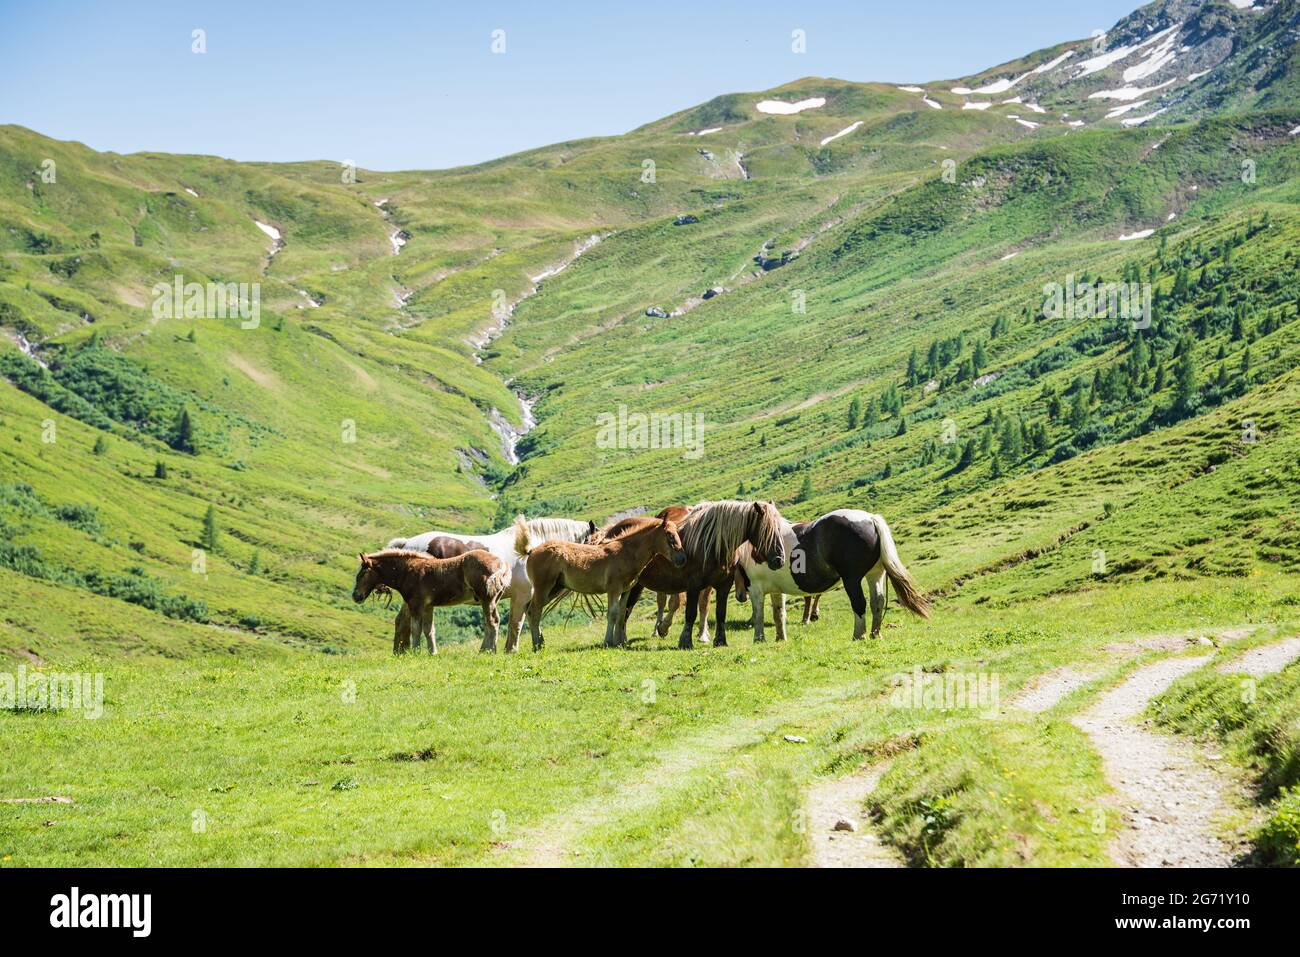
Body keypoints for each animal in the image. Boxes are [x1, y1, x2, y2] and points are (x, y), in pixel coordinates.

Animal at [353, 549, 508, 654]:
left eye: (361, 575)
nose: (355, 596)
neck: (407, 571)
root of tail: (502, 564)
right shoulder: (428, 606)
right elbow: (429, 629)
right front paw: (432, 652)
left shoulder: (415, 605)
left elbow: (416, 629)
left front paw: (415, 652)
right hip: (493, 599)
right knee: (491, 622)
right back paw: (486, 650)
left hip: (487, 599)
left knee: (492, 622)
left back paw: (489, 651)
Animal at [387, 516, 596, 652]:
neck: (529, 549)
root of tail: (407, 543)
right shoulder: (522, 596)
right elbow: (516, 623)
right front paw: (511, 650)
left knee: (402, 621)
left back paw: (402, 652)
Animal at [520, 517, 686, 649]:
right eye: (669, 535)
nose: (682, 559)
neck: (626, 552)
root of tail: (531, 551)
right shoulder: (614, 589)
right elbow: (612, 614)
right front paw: (608, 641)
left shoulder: (625, 590)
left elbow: (621, 614)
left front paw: (620, 642)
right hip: (543, 588)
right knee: (534, 610)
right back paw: (537, 645)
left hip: (554, 589)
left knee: (530, 609)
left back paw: (540, 641)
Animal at [623, 500, 786, 650]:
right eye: (766, 530)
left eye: (780, 528)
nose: (779, 560)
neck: (714, 544)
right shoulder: (693, 585)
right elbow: (690, 613)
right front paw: (685, 641)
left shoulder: (722, 586)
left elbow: (719, 612)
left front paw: (719, 640)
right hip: (636, 586)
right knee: (629, 608)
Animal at [737, 508, 930, 642]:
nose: (740, 596)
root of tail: (870, 519)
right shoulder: (777, 590)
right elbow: (779, 614)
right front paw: (780, 638)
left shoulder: (756, 589)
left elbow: (759, 613)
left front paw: (759, 639)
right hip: (875, 575)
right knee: (878, 602)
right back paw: (875, 634)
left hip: (852, 580)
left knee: (859, 603)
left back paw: (859, 635)